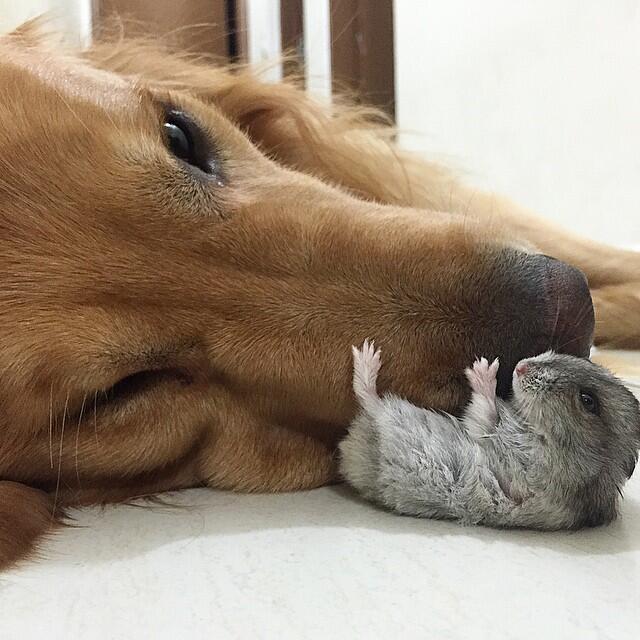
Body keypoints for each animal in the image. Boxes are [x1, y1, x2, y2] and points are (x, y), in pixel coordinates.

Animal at [340, 340, 640, 528]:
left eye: (588, 401)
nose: (520, 366)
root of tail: (351, 453)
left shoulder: (516, 456)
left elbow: (485, 414)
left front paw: (484, 368)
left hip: (392, 418)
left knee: (367, 398)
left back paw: (367, 357)